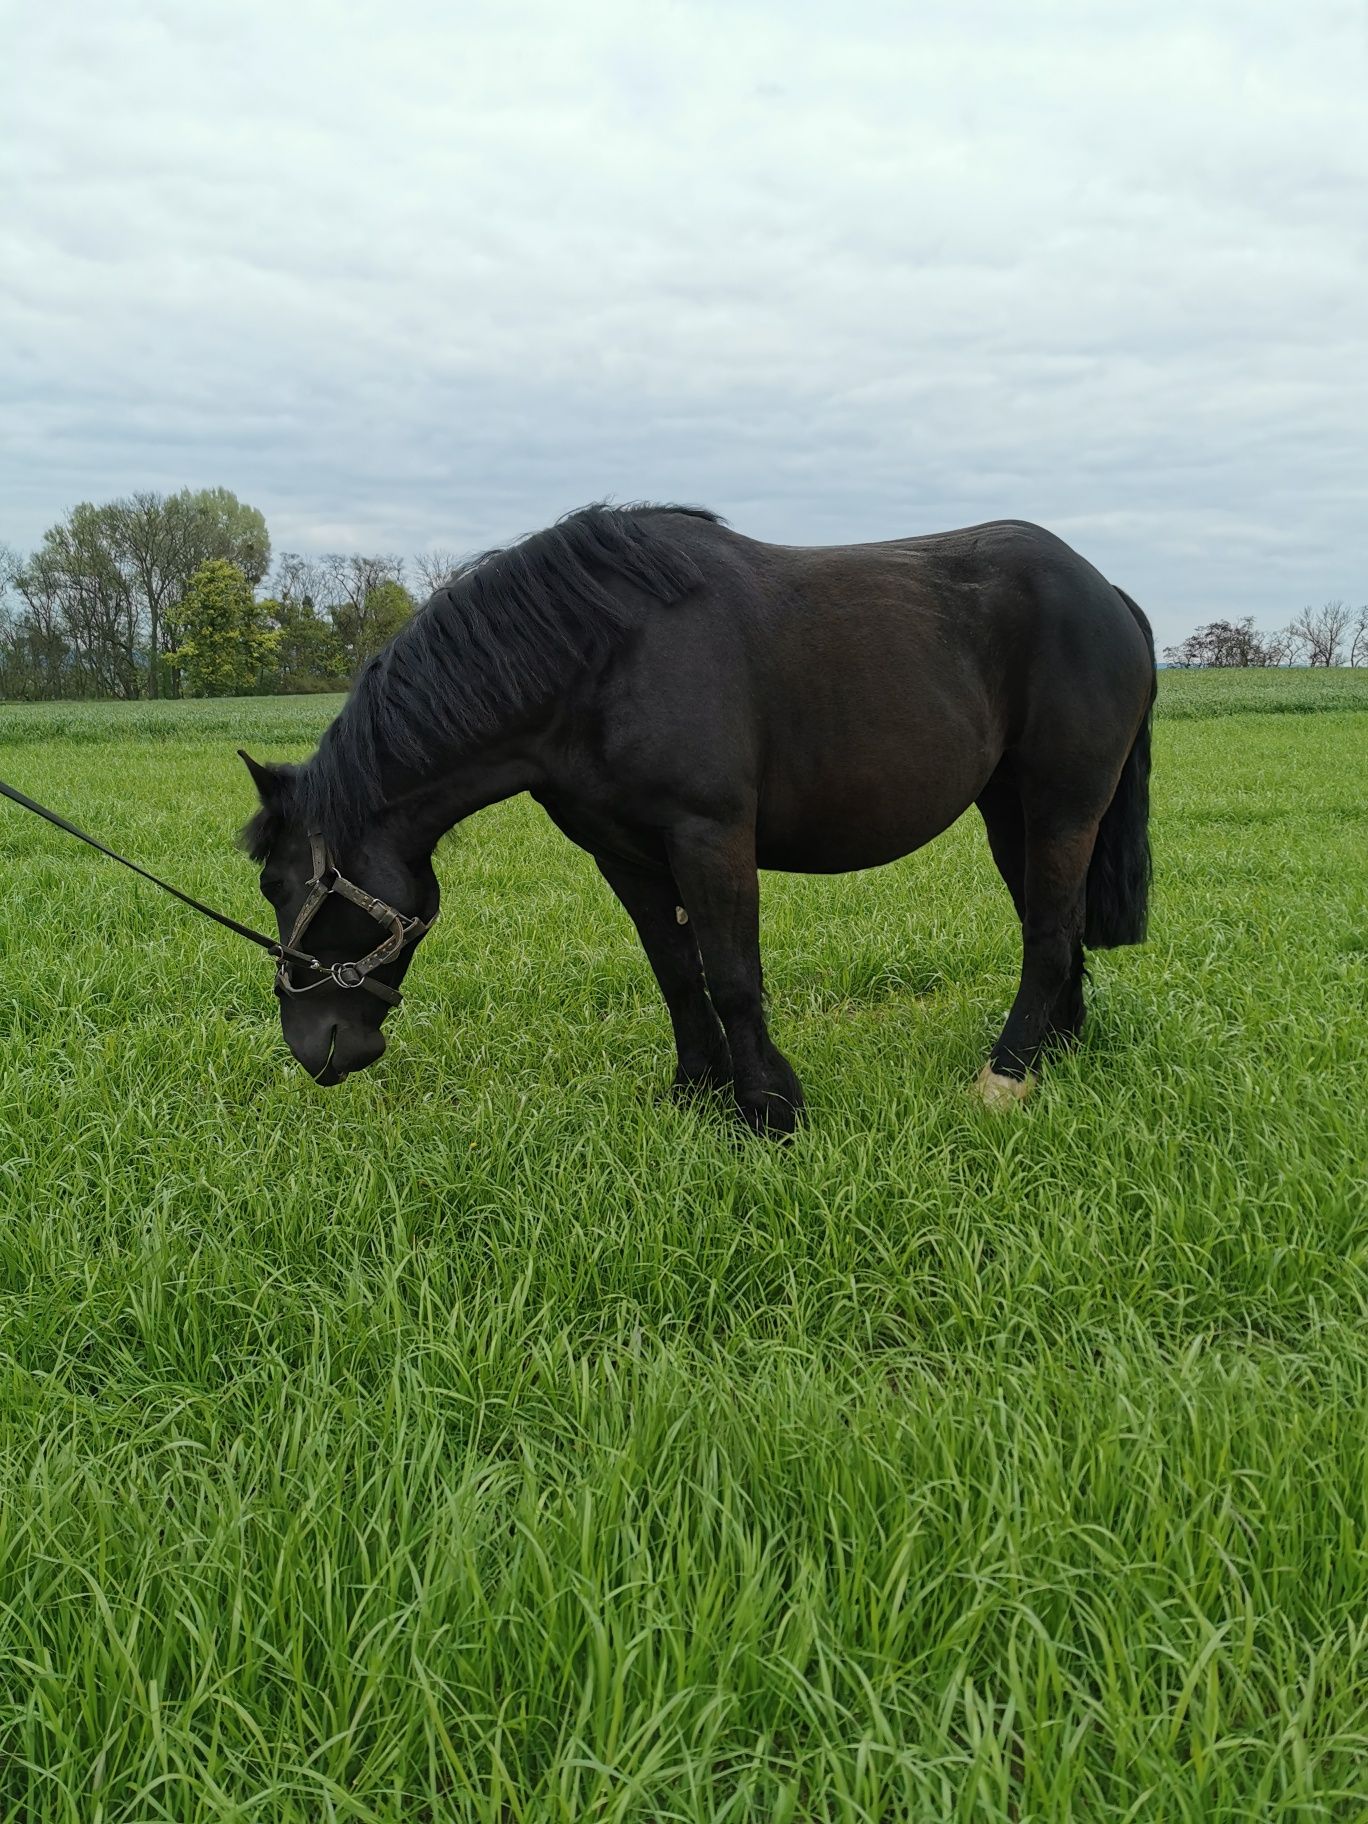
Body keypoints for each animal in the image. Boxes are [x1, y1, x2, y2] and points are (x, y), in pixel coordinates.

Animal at [238, 499, 1160, 1123]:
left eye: (289, 886)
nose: (315, 1049)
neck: (602, 662)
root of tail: (1109, 592)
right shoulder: (625, 855)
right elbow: (678, 973)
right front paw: (698, 1091)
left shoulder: (709, 837)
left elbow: (732, 975)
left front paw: (769, 1111)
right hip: (1010, 812)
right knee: (1053, 921)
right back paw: (1056, 1049)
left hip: (1063, 805)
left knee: (1049, 931)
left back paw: (1007, 1073)